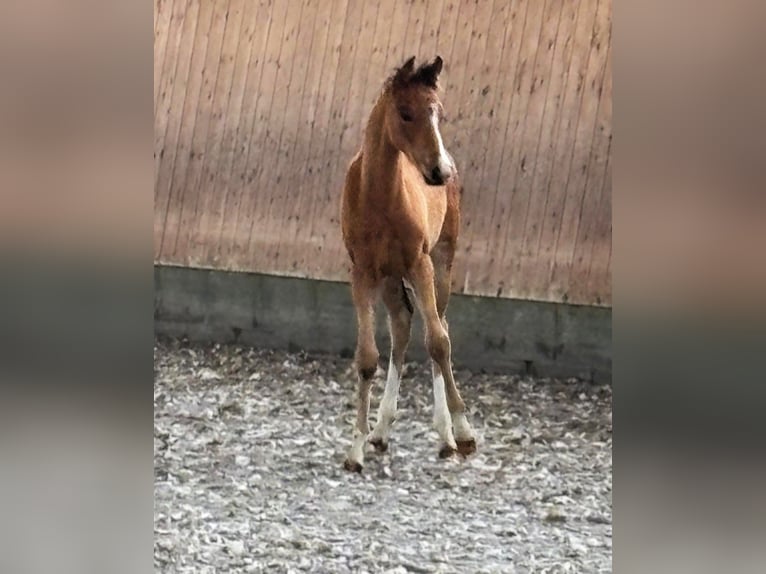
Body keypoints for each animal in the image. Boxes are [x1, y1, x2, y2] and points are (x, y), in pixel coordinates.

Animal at [340, 55, 477, 472]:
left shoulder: (421, 263)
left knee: (440, 327)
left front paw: (457, 434)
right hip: (390, 276)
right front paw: (355, 449)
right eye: (405, 112)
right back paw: (381, 430)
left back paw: (452, 432)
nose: (439, 172)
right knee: (401, 327)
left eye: (438, 113)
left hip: (441, 260)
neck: (380, 196)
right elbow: (367, 358)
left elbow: (438, 343)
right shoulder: (363, 271)